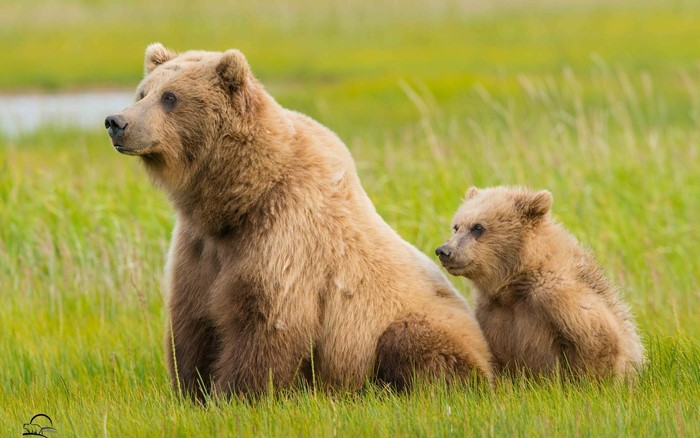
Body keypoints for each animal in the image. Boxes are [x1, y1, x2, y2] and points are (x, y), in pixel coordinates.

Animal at [104, 43, 493, 399]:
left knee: (414, 345)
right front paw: (191, 391)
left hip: (418, 326)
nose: (116, 122)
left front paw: (235, 393)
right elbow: (191, 319)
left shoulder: (285, 232)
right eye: (143, 92)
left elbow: (267, 317)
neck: (239, 198)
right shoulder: (200, 246)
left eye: (170, 97)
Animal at [435, 186, 644, 379]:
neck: (516, 282)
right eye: (456, 226)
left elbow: (598, 339)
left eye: (478, 227)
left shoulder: (557, 296)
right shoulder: (492, 312)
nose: (444, 251)